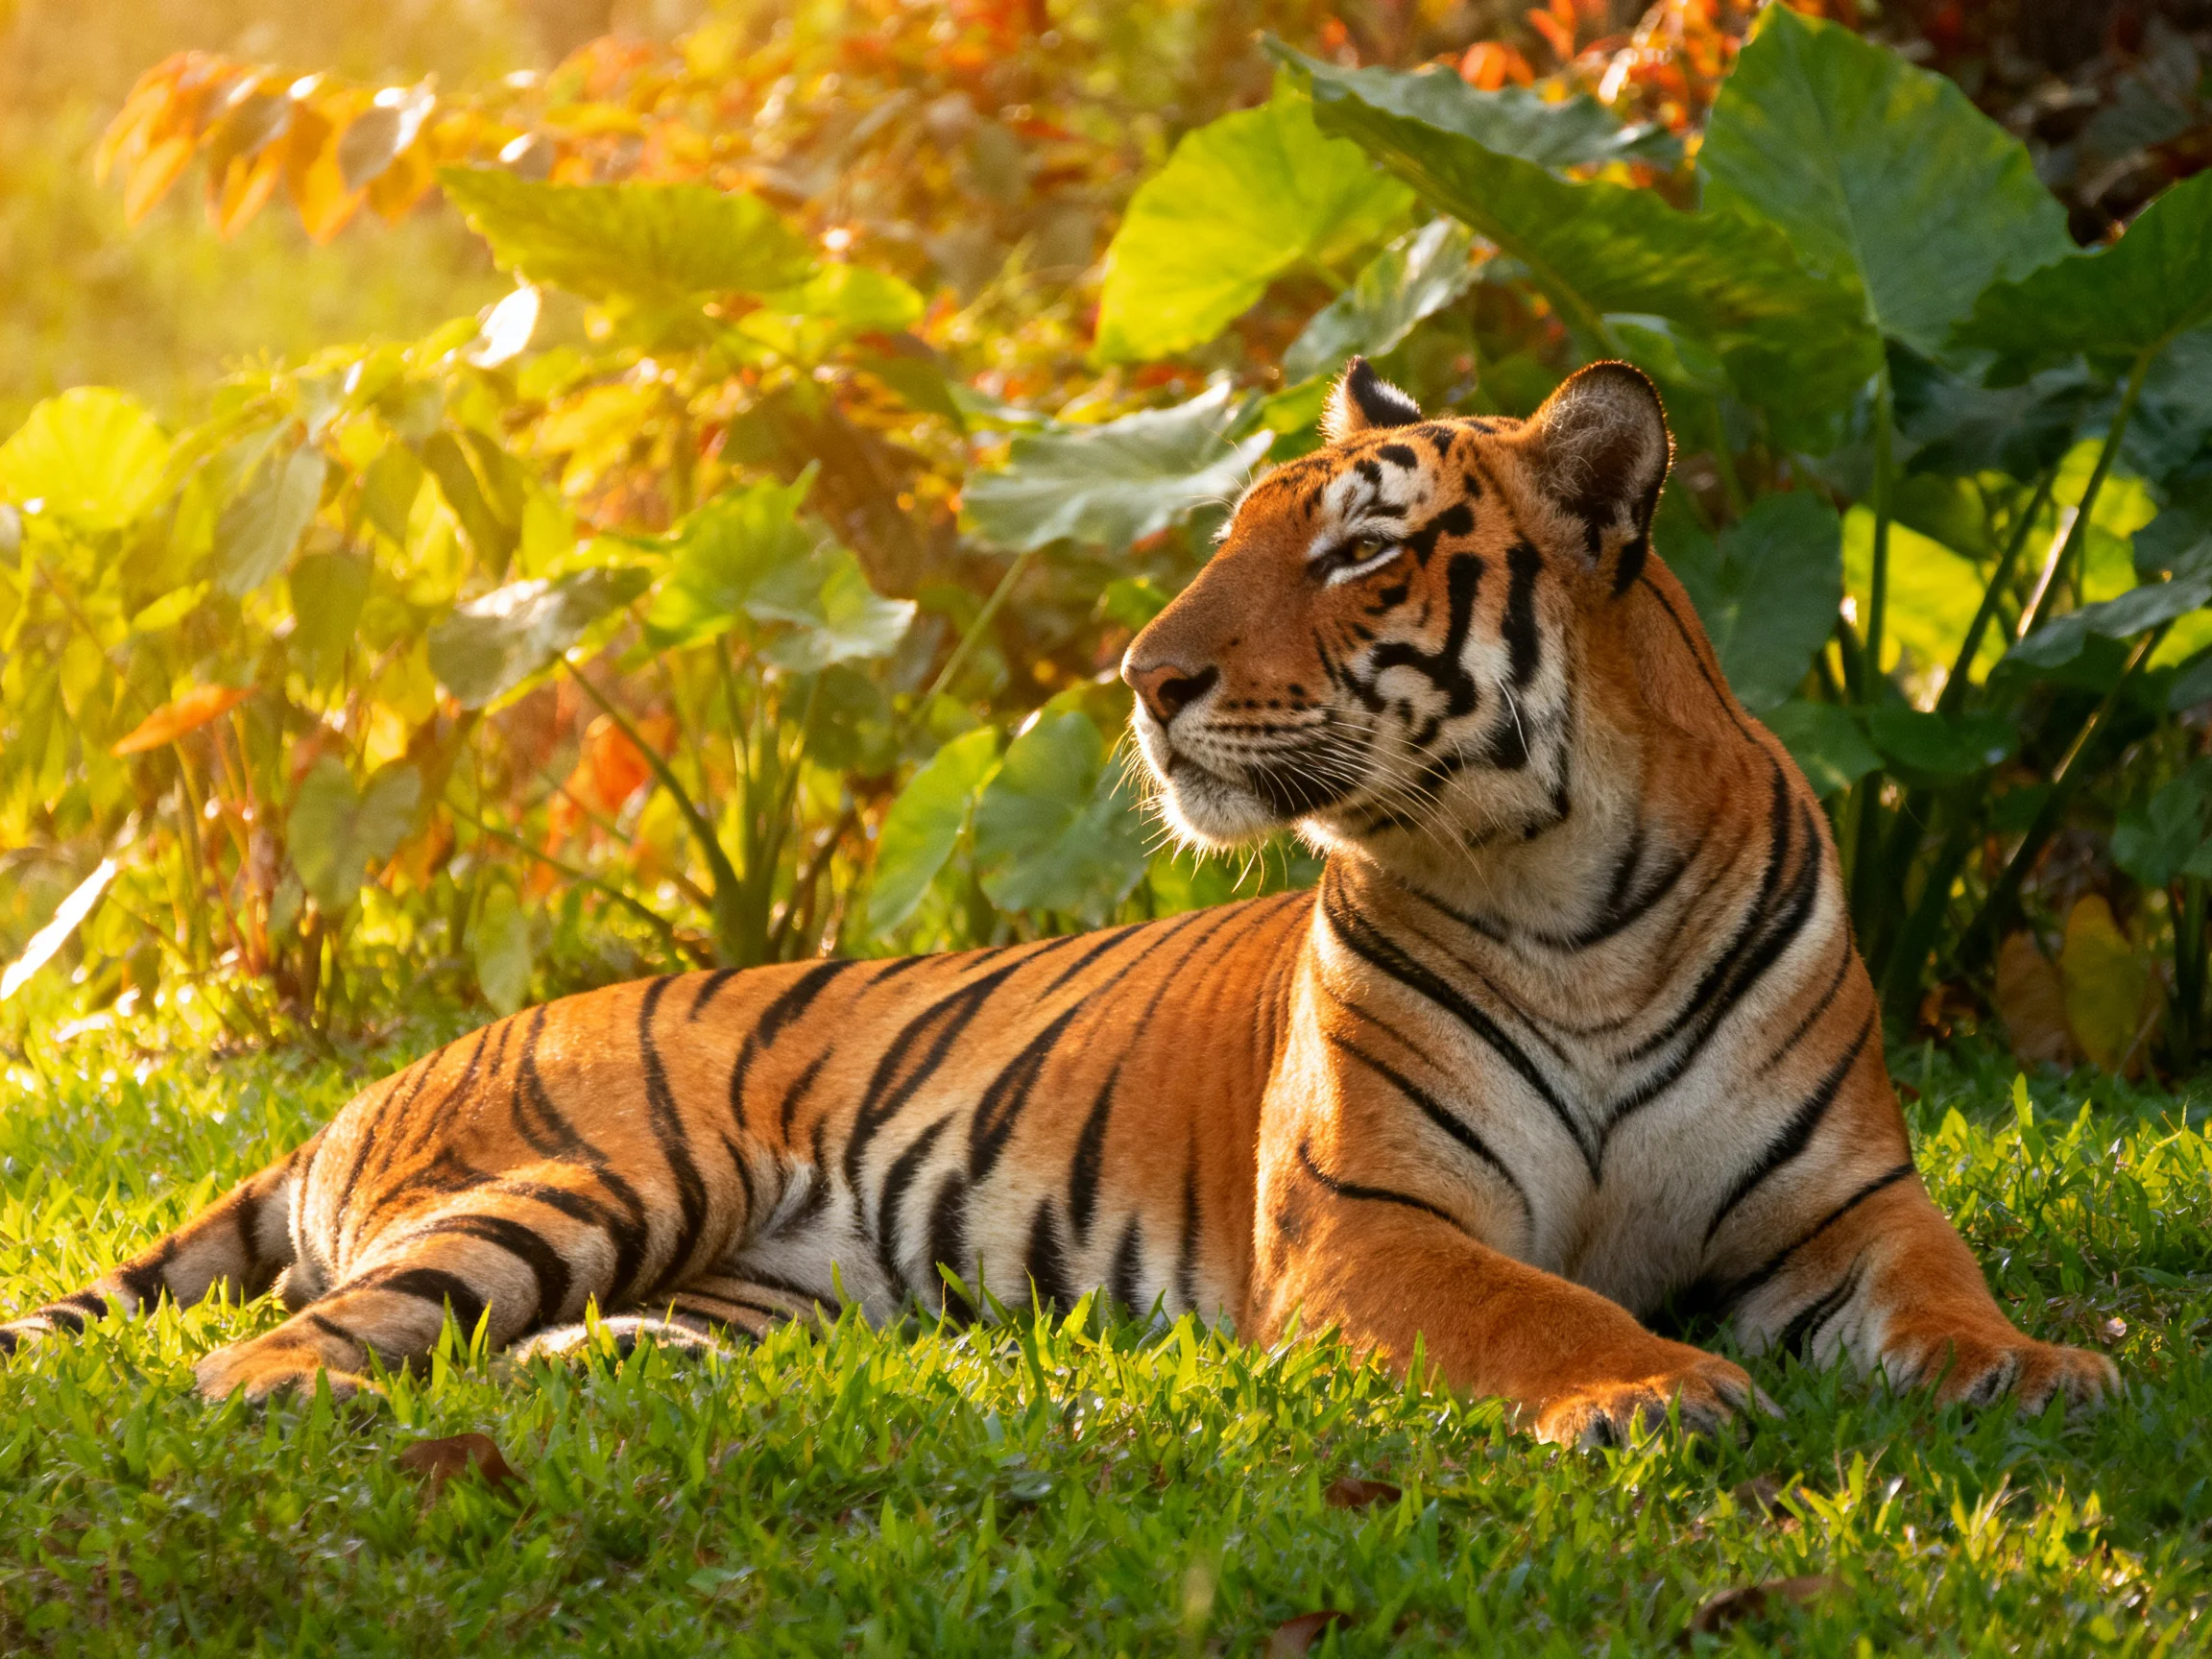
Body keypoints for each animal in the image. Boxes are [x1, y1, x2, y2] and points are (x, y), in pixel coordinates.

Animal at [1, 357, 2118, 1446]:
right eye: (1231, 532)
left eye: (1354, 553)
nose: (1141, 676)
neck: (1568, 884)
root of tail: (375, 1081)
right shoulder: (1375, 1226)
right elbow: (1533, 1304)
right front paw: (1650, 1386)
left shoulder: (1847, 1199)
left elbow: (1946, 1290)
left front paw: (2041, 1369)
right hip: (590, 1176)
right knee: (267, 1349)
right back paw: (296, 1418)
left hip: (741, 1286)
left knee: (529, 1346)